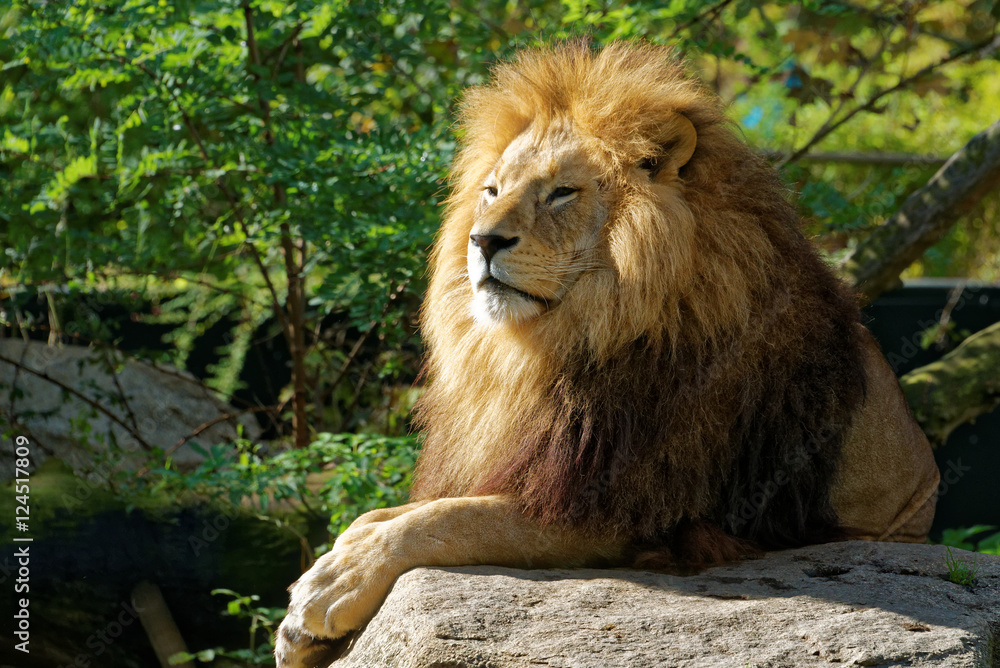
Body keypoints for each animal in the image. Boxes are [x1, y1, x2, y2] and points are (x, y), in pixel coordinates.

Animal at [275, 42, 939, 667]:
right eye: (491, 191)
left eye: (561, 193)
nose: (482, 240)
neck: (560, 340)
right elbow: (383, 516)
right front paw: (312, 607)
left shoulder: (622, 510)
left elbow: (447, 520)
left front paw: (333, 587)